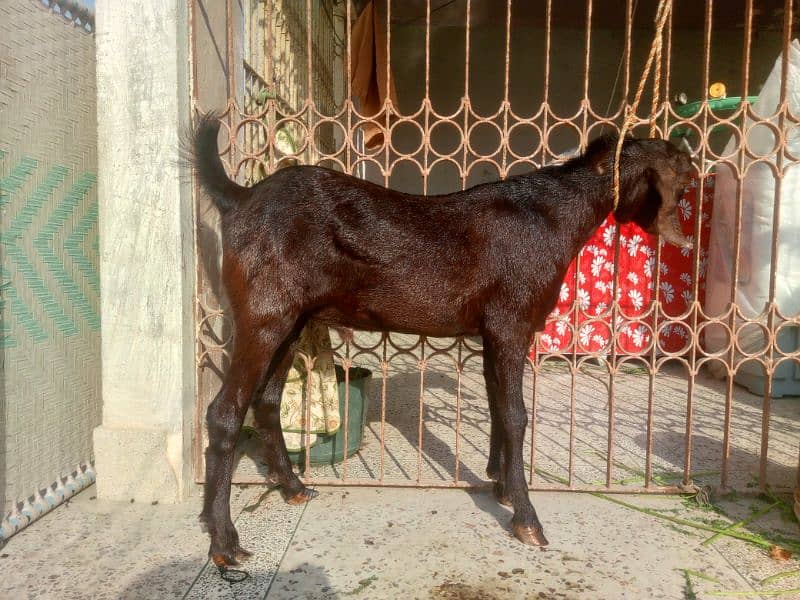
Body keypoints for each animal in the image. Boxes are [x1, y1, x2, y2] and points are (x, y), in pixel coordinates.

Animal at [192, 115, 692, 568]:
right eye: (684, 185)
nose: (683, 242)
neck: (551, 216)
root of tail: (240, 197)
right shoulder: (512, 323)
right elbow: (516, 416)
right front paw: (527, 518)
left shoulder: (492, 332)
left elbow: (497, 407)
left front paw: (500, 485)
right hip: (263, 316)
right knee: (223, 412)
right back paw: (224, 543)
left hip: (291, 321)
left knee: (267, 400)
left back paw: (293, 488)